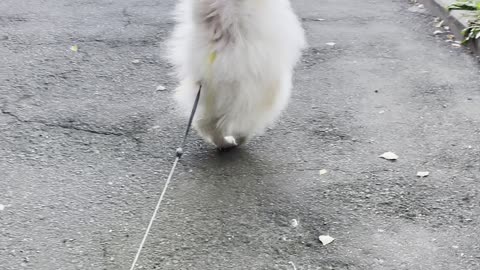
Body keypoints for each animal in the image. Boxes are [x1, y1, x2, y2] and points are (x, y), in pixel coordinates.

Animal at [167, 0, 306, 150]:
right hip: (261, 89)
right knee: (243, 119)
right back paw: (239, 139)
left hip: (207, 90)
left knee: (206, 122)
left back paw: (224, 143)